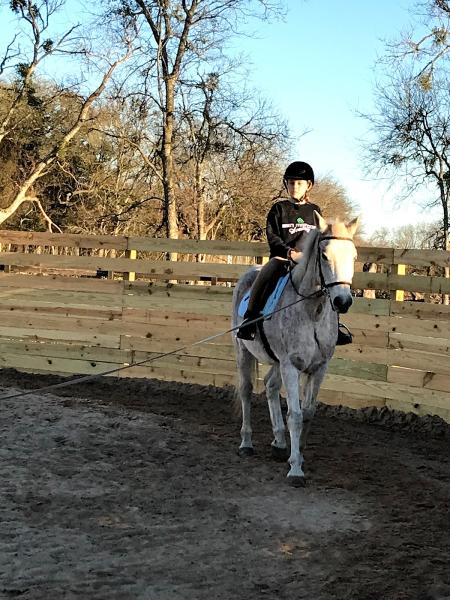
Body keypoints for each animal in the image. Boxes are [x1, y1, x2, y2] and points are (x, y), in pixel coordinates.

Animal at [232, 213, 358, 486]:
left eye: (353, 257)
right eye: (324, 256)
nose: (342, 302)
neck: (313, 311)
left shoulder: (319, 368)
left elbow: (308, 412)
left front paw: (298, 453)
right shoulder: (291, 366)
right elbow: (296, 415)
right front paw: (296, 470)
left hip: (277, 362)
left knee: (270, 387)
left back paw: (279, 443)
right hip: (243, 353)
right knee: (246, 391)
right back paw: (246, 443)